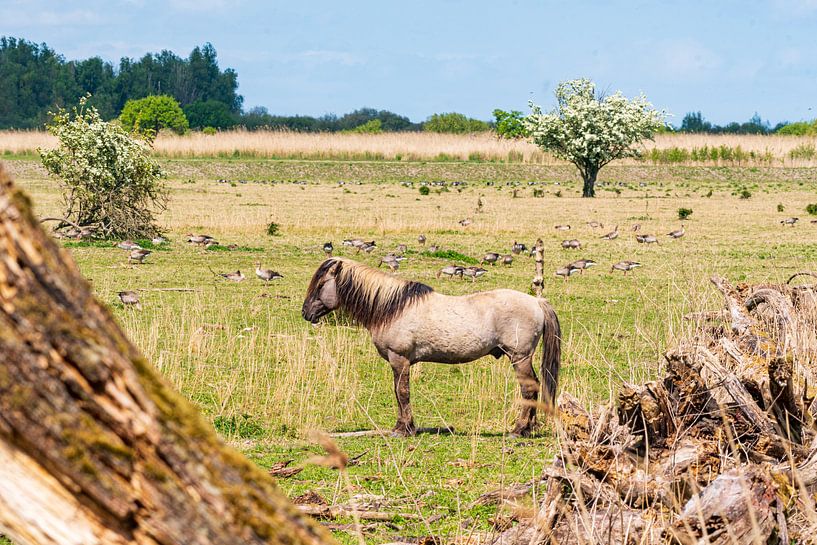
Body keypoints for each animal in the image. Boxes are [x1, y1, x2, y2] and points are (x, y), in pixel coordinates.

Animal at [301, 257, 561, 437]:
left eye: (321, 284)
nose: (306, 313)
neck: (394, 308)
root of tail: (536, 301)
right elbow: (398, 392)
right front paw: (401, 426)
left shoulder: (400, 359)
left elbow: (402, 392)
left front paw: (404, 429)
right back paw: (528, 428)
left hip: (519, 357)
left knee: (528, 389)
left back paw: (518, 430)